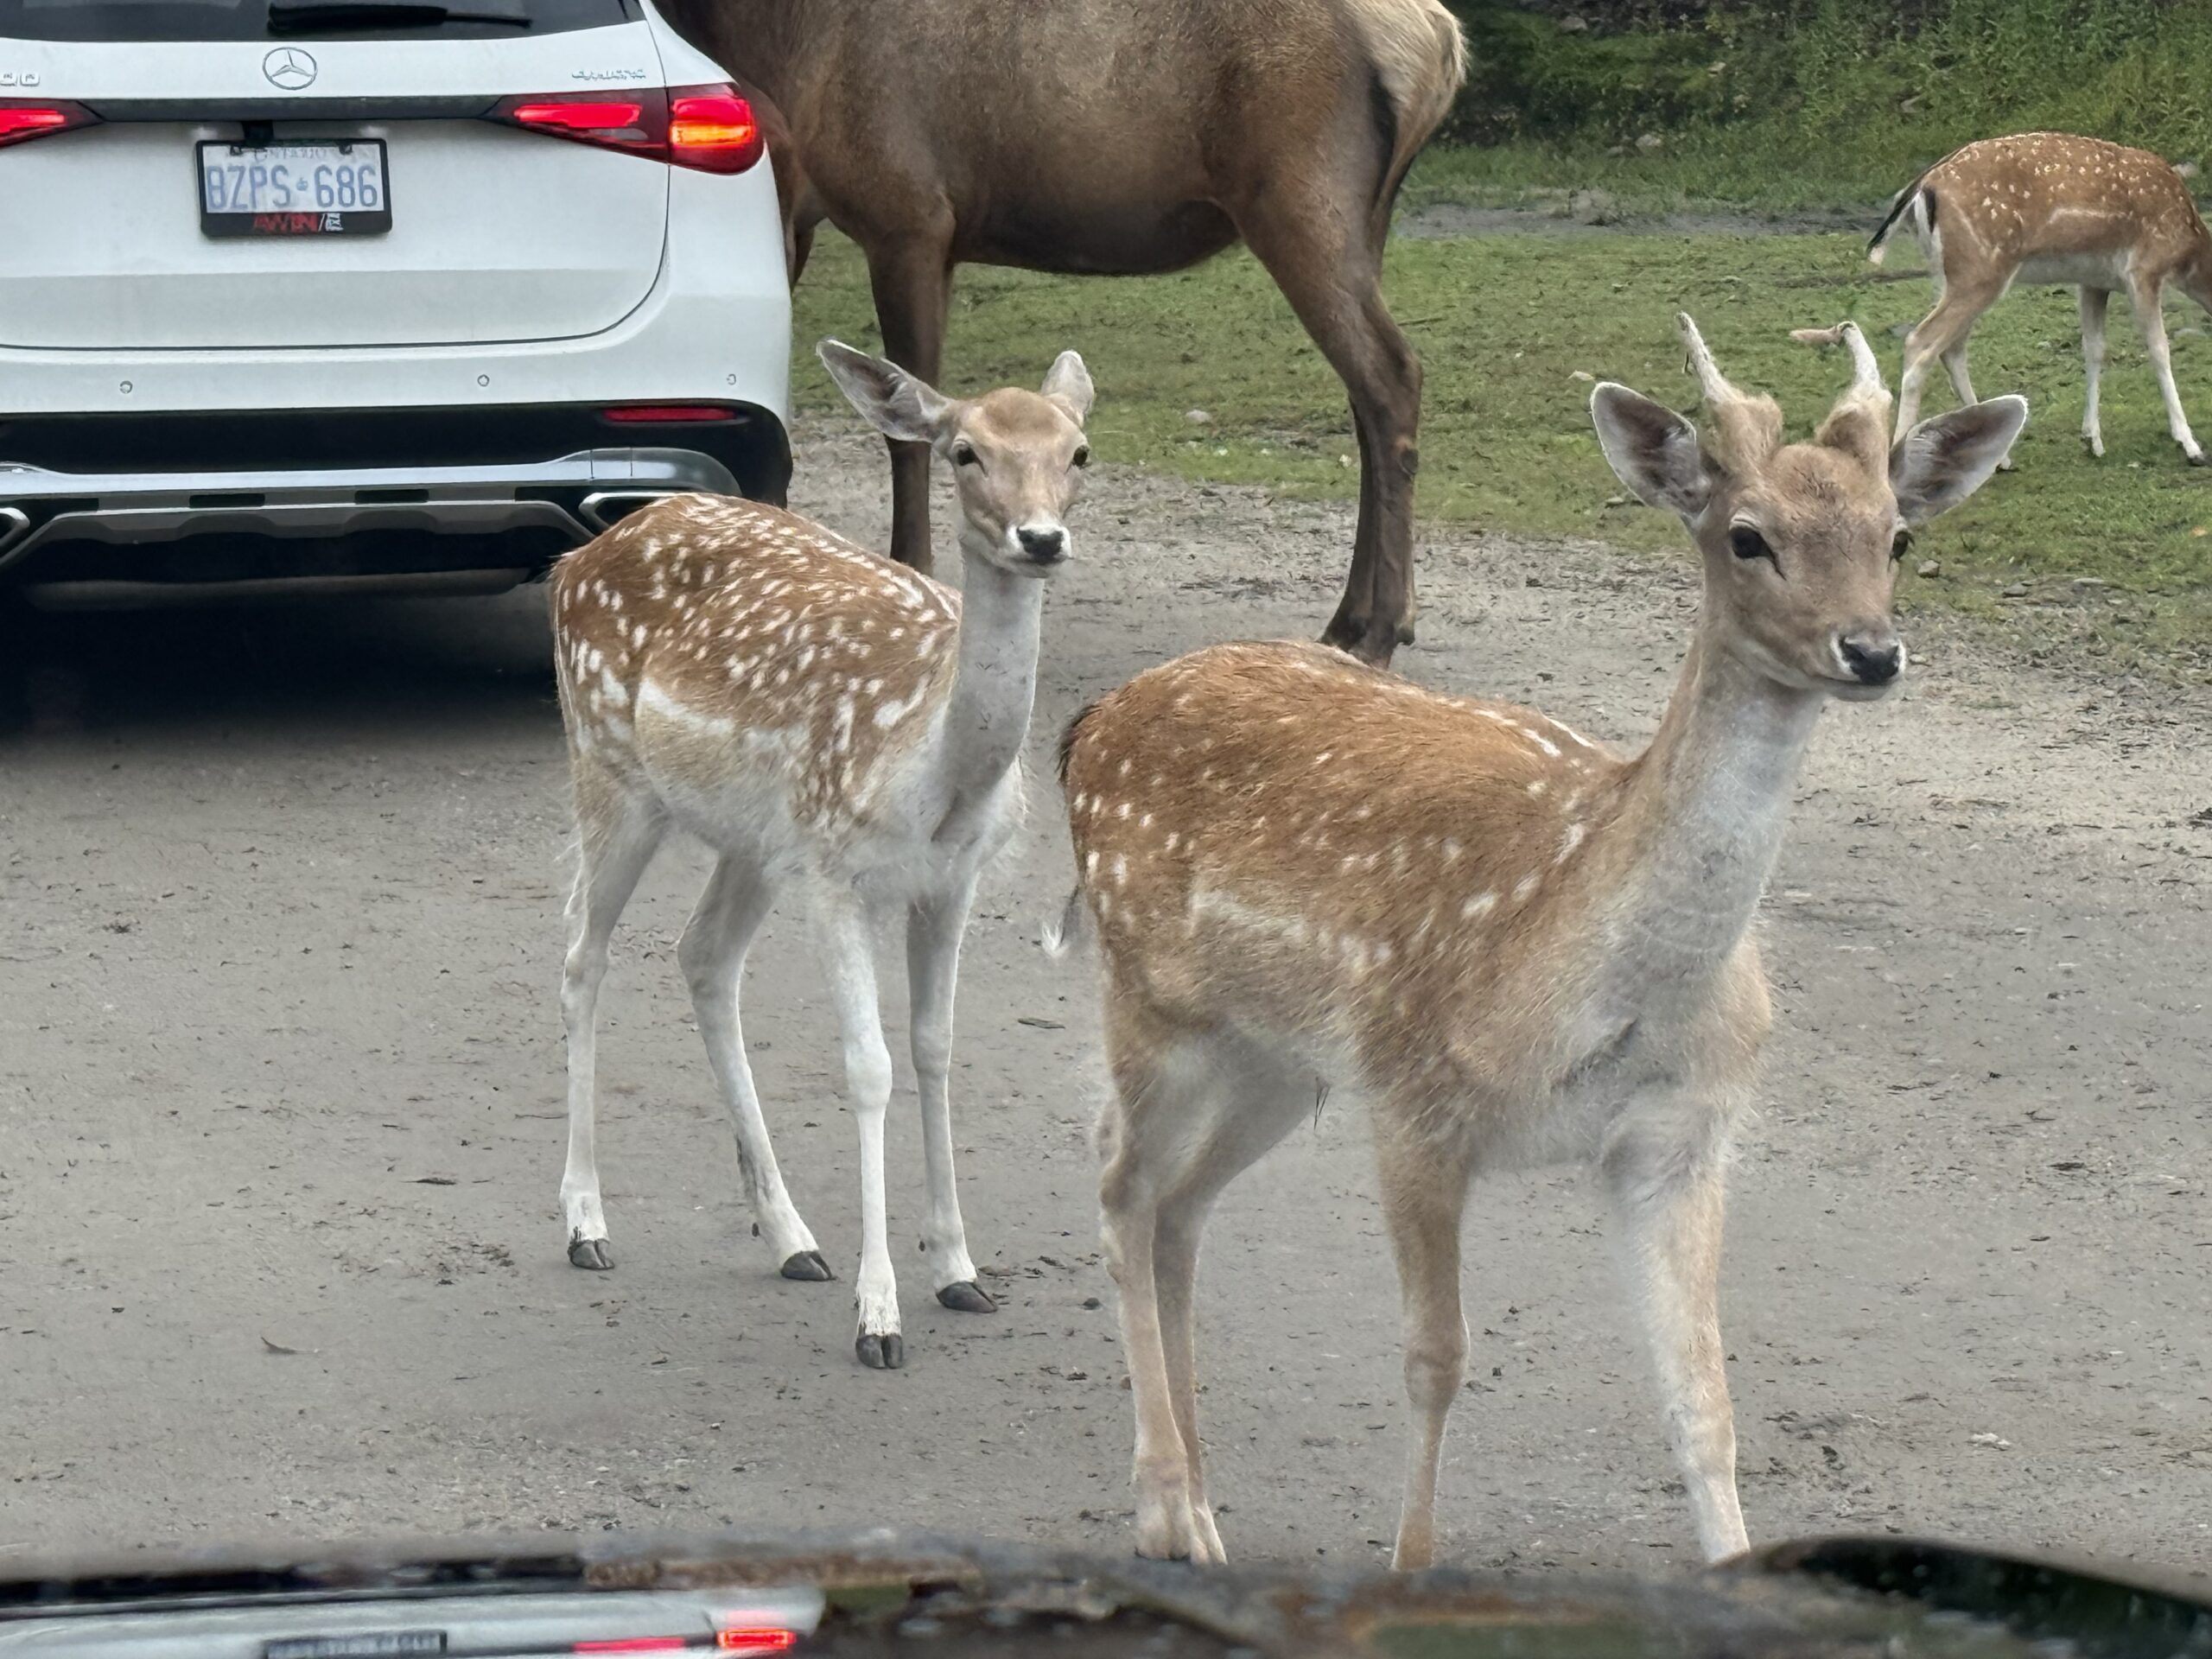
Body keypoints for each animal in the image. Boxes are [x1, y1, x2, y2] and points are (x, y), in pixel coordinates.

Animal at [550, 338, 1095, 1370]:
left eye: (1078, 451)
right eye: (964, 450)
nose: (1041, 539)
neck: (931, 773)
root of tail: (573, 558)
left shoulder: (952, 882)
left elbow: (934, 1047)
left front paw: (958, 1270)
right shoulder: (837, 870)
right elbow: (868, 1064)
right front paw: (879, 1316)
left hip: (755, 842)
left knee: (700, 953)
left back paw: (792, 1237)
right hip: (608, 766)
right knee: (581, 956)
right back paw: (585, 1224)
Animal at [654, 0, 1467, 666]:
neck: (771, 40)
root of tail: (1439, 41)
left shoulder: (908, 218)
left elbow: (904, 422)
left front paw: (911, 570)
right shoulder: (804, 218)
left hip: (1302, 201)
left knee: (1391, 375)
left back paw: (1379, 627)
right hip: (1364, 222)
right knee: (1368, 397)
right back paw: (1354, 618)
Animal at [1050, 315, 2026, 1567]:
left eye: (1897, 533)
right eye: (1747, 535)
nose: (1869, 651)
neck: (1604, 983)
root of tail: (1087, 726)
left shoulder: (1681, 1137)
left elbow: (1702, 1397)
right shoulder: (1418, 1101)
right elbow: (1436, 1359)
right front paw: (1412, 1565)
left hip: (1273, 1059)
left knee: (1178, 1207)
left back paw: (1203, 1510)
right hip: (1150, 1000)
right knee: (1119, 1182)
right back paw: (1164, 1509)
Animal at [1869, 131, 2212, 464]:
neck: (2188, 252)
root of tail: (1920, 187)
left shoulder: (2093, 281)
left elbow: (2094, 348)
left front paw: (2092, 439)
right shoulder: (2143, 270)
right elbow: (2159, 349)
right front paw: (2189, 444)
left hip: (1951, 276)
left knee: (1951, 349)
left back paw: (2000, 458)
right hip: (1977, 272)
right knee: (1921, 342)